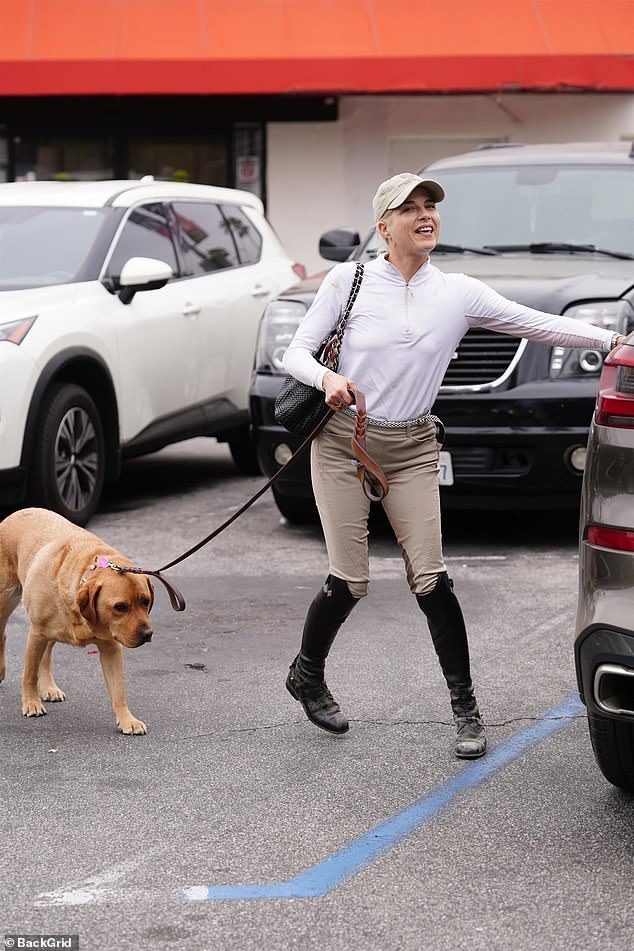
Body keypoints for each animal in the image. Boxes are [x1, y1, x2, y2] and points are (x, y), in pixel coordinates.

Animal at [0, 506, 154, 736]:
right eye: (120, 607)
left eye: (145, 601)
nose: (148, 634)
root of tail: (19, 511)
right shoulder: (36, 632)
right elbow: (28, 674)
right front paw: (30, 702)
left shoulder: (110, 647)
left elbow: (119, 689)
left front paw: (127, 719)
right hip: (6, 600)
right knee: (4, 636)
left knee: (45, 655)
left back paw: (49, 687)